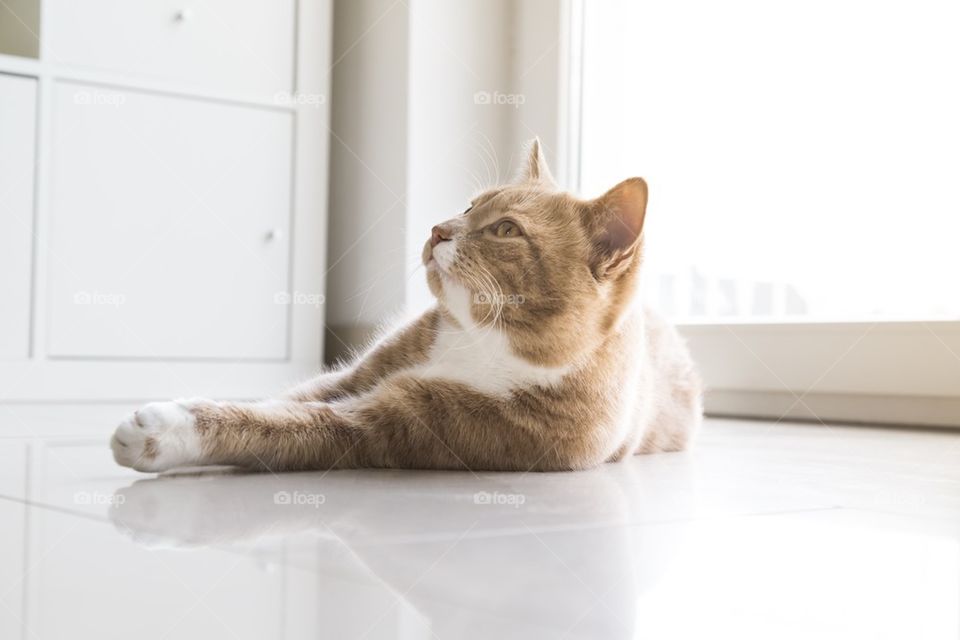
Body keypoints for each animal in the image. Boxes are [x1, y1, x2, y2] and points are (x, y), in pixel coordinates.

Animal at [112, 140, 700, 470]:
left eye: (506, 229)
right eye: (469, 205)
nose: (438, 228)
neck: (484, 343)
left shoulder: (409, 426)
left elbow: (294, 424)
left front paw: (165, 432)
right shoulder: (368, 368)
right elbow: (290, 397)